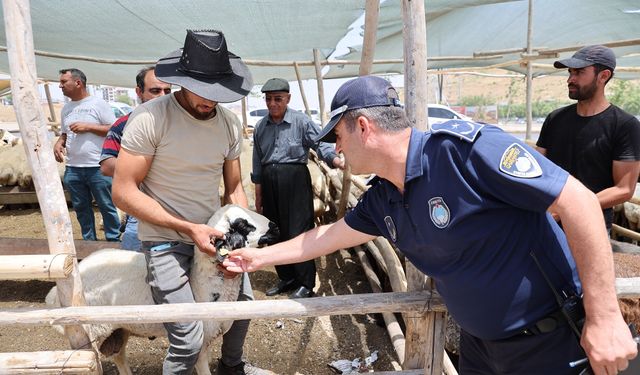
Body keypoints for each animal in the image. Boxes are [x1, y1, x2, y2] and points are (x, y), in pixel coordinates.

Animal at [42, 206, 278, 375]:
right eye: (243, 225)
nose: (275, 226)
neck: (202, 284)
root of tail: (53, 295)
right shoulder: (201, 347)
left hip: (117, 329)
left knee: (118, 355)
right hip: (90, 335)